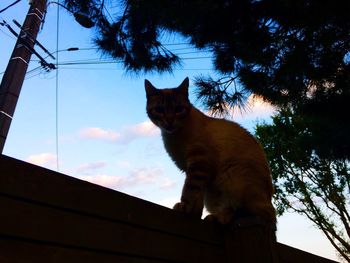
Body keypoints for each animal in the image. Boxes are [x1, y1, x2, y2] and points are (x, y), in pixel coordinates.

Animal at [145, 77, 276, 226]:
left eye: (178, 109)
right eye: (159, 110)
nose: (169, 121)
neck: (173, 136)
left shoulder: (199, 163)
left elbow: (190, 190)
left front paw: (184, 207)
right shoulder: (195, 170)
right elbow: (198, 197)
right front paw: (194, 214)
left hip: (233, 177)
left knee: (262, 215)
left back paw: (222, 218)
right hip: (214, 192)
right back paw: (215, 217)